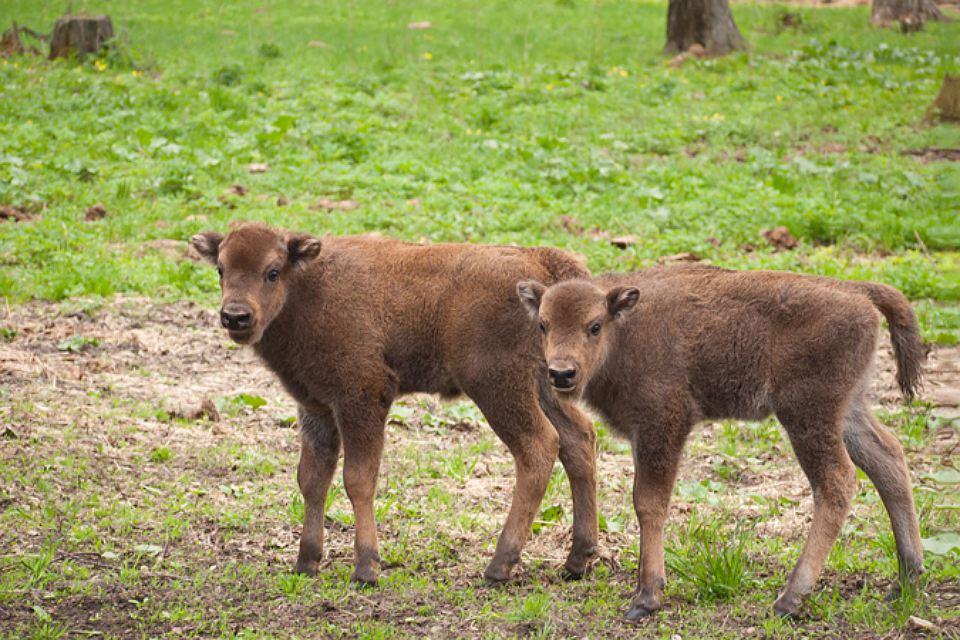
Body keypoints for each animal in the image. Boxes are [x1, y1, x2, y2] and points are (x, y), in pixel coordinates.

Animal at [189, 222, 600, 588]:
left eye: (273, 271)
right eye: (221, 269)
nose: (235, 316)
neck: (308, 287)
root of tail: (541, 263)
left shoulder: (362, 398)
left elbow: (357, 479)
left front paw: (366, 568)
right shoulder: (316, 408)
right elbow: (312, 478)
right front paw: (306, 562)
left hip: (498, 388)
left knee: (538, 447)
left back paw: (499, 566)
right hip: (546, 384)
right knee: (578, 439)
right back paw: (577, 560)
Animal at [520, 264, 928, 620]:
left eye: (594, 325)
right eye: (543, 324)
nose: (561, 373)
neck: (626, 329)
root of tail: (858, 291)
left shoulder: (661, 427)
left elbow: (648, 503)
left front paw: (646, 598)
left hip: (808, 415)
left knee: (837, 482)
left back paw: (789, 599)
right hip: (848, 411)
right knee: (889, 458)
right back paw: (906, 579)